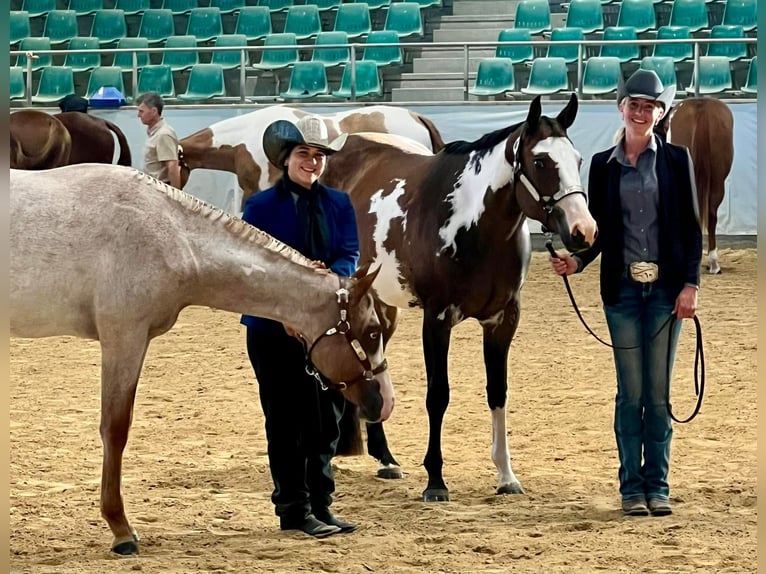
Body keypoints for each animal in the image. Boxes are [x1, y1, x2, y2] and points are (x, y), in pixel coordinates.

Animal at [10, 164, 394, 555]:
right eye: (373, 331)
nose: (383, 402)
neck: (170, 233)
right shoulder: (123, 337)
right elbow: (115, 429)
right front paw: (121, 531)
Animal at [322, 94, 598, 501]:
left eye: (577, 160)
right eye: (541, 161)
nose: (584, 231)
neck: (473, 225)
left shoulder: (503, 320)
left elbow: (498, 392)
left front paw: (506, 476)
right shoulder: (437, 318)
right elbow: (438, 395)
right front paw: (436, 481)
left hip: (380, 306)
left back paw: (385, 459)